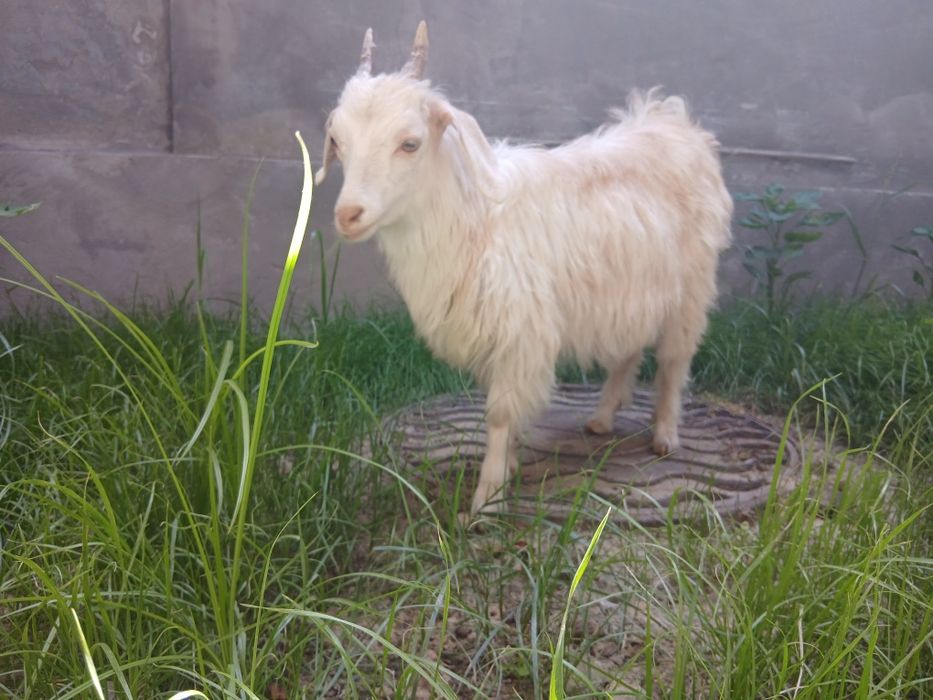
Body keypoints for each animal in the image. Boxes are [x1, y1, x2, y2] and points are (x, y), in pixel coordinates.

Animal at [316, 22, 733, 516]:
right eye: (338, 141)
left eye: (410, 143)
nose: (348, 215)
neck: (476, 220)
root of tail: (671, 120)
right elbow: (504, 412)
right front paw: (509, 465)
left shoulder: (521, 331)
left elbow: (499, 413)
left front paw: (486, 498)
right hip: (630, 288)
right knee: (628, 350)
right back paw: (601, 418)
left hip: (691, 286)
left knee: (674, 359)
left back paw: (665, 435)